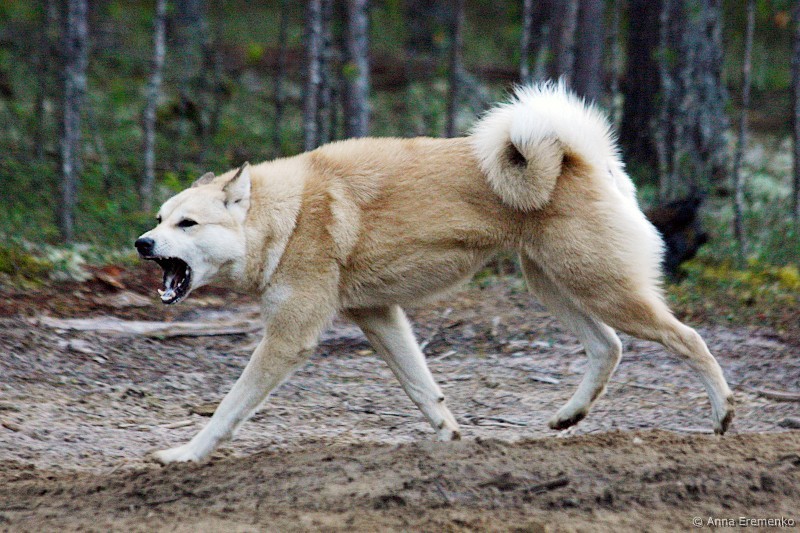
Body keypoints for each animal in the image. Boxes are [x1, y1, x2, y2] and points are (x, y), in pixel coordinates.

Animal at [135, 83, 734, 464]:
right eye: (161, 219)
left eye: (187, 223)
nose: (142, 244)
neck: (285, 215)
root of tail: (585, 157)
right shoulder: (379, 317)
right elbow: (424, 391)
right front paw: (451, 438)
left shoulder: (288, 339)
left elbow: (228, 408)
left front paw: (186, 454)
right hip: (556, 288)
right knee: (608, 348)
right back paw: (570, 416)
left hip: (602, 290)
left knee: (690, 339)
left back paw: (724, 415)